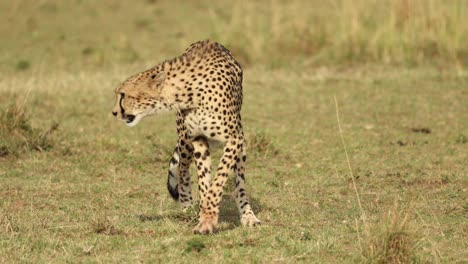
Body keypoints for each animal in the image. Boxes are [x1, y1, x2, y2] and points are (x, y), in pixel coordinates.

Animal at [112, 39, 262, 233]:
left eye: (123, 95)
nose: (114, 112)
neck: (186, 92)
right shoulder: (198, 140)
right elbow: (203, 180)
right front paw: (205, 215)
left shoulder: (234, 139)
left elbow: (219, 179)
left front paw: (208, 215)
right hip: (184, 141)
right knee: (183, 171)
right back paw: (187, 207)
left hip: (240, 144)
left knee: (240, 183)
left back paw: (248, 215)